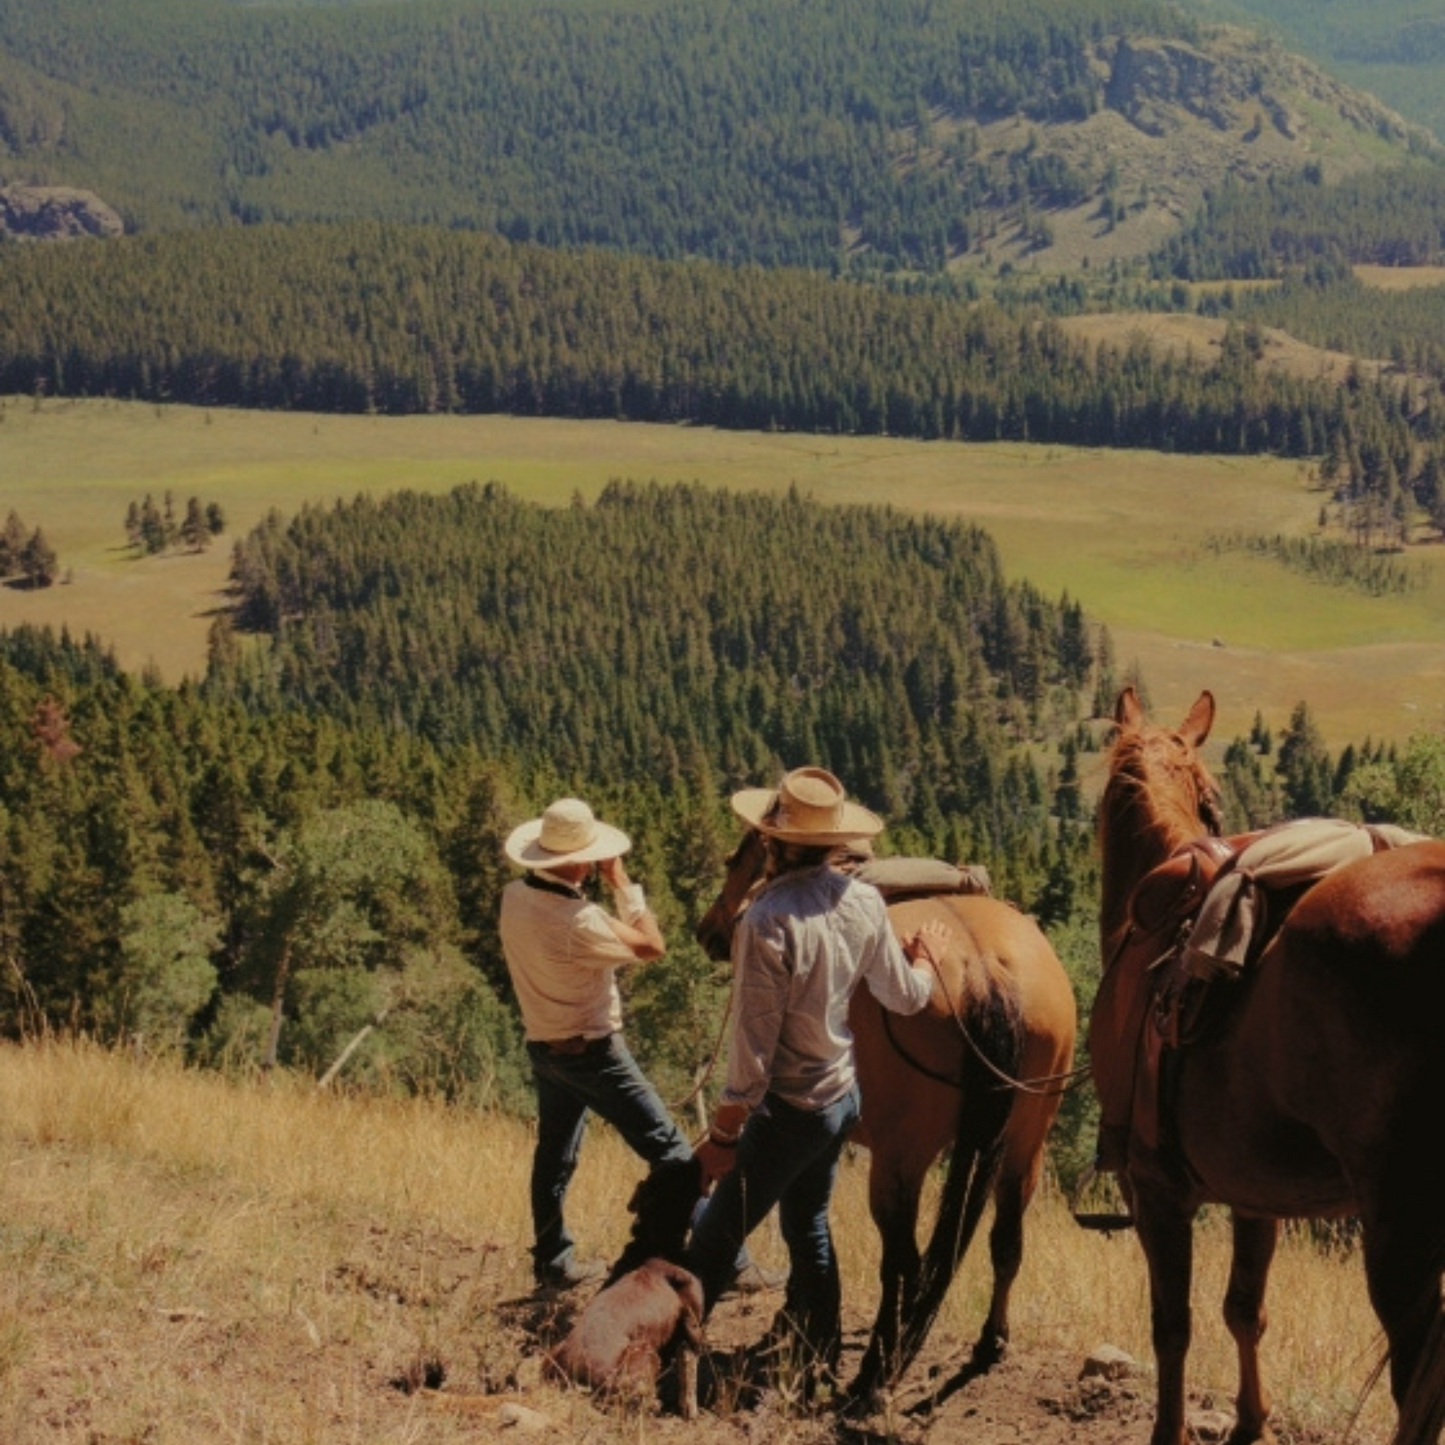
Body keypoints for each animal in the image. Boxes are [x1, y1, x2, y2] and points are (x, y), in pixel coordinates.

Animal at [693, 832, 1080, 1404]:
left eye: (735, 860)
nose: (709, 931)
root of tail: (985, 970)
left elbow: (807, 1232)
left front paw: (798, 1322)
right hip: (1025, 1145)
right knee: (1004, 1241)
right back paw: (988, 1344)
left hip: (902, 1162)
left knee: (903, 1258)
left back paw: (876, 1369)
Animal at [1092, 687, 1445, 1445]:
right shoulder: (1257, 1193)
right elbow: (1242, 1309)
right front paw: (1251, 1419)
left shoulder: (1152, 1186)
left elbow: (1172, 1325)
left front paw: (1170, 1429)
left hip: (1399, 1226)